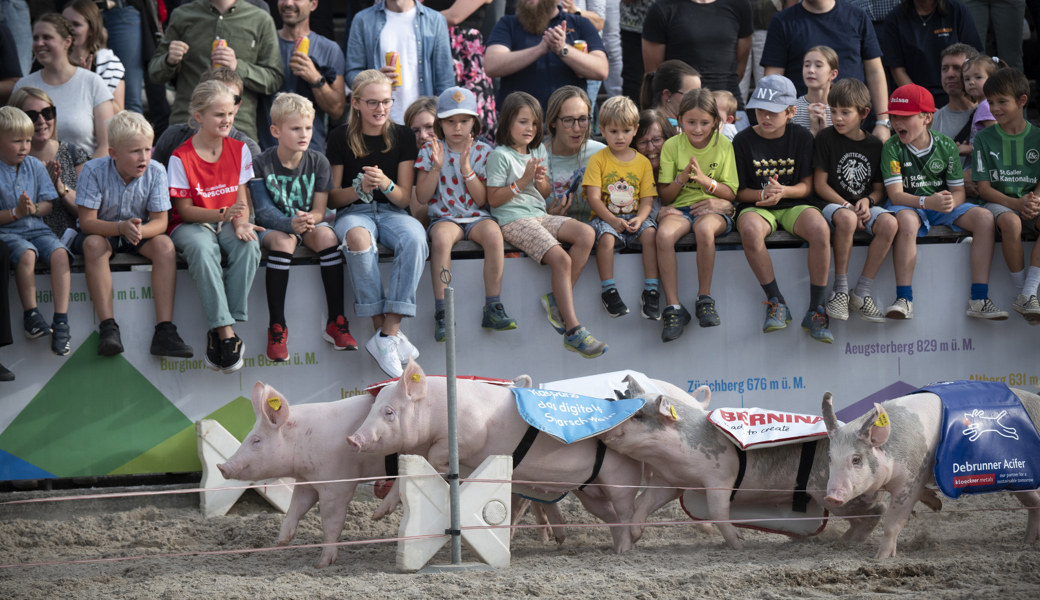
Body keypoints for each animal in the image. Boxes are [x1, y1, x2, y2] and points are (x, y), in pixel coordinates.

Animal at [218, 382, 386, 565]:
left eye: (256, 440)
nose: (221, 467)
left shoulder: (338, 485)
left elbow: (331, 522)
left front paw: (322, 564)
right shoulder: (307, 483)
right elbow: (296, 506)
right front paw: (281, 543)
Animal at [345, 357, 644, 549]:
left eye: (389, 412)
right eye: (373, 409)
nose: (352, 439)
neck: (435, 412)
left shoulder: (469, 436)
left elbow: (437, 456)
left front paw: (444, 468)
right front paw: (377, 516)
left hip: (620, 478)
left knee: (626, 511)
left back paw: (625, 548)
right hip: (589, 492)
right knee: (610, 516)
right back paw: (613, 546)